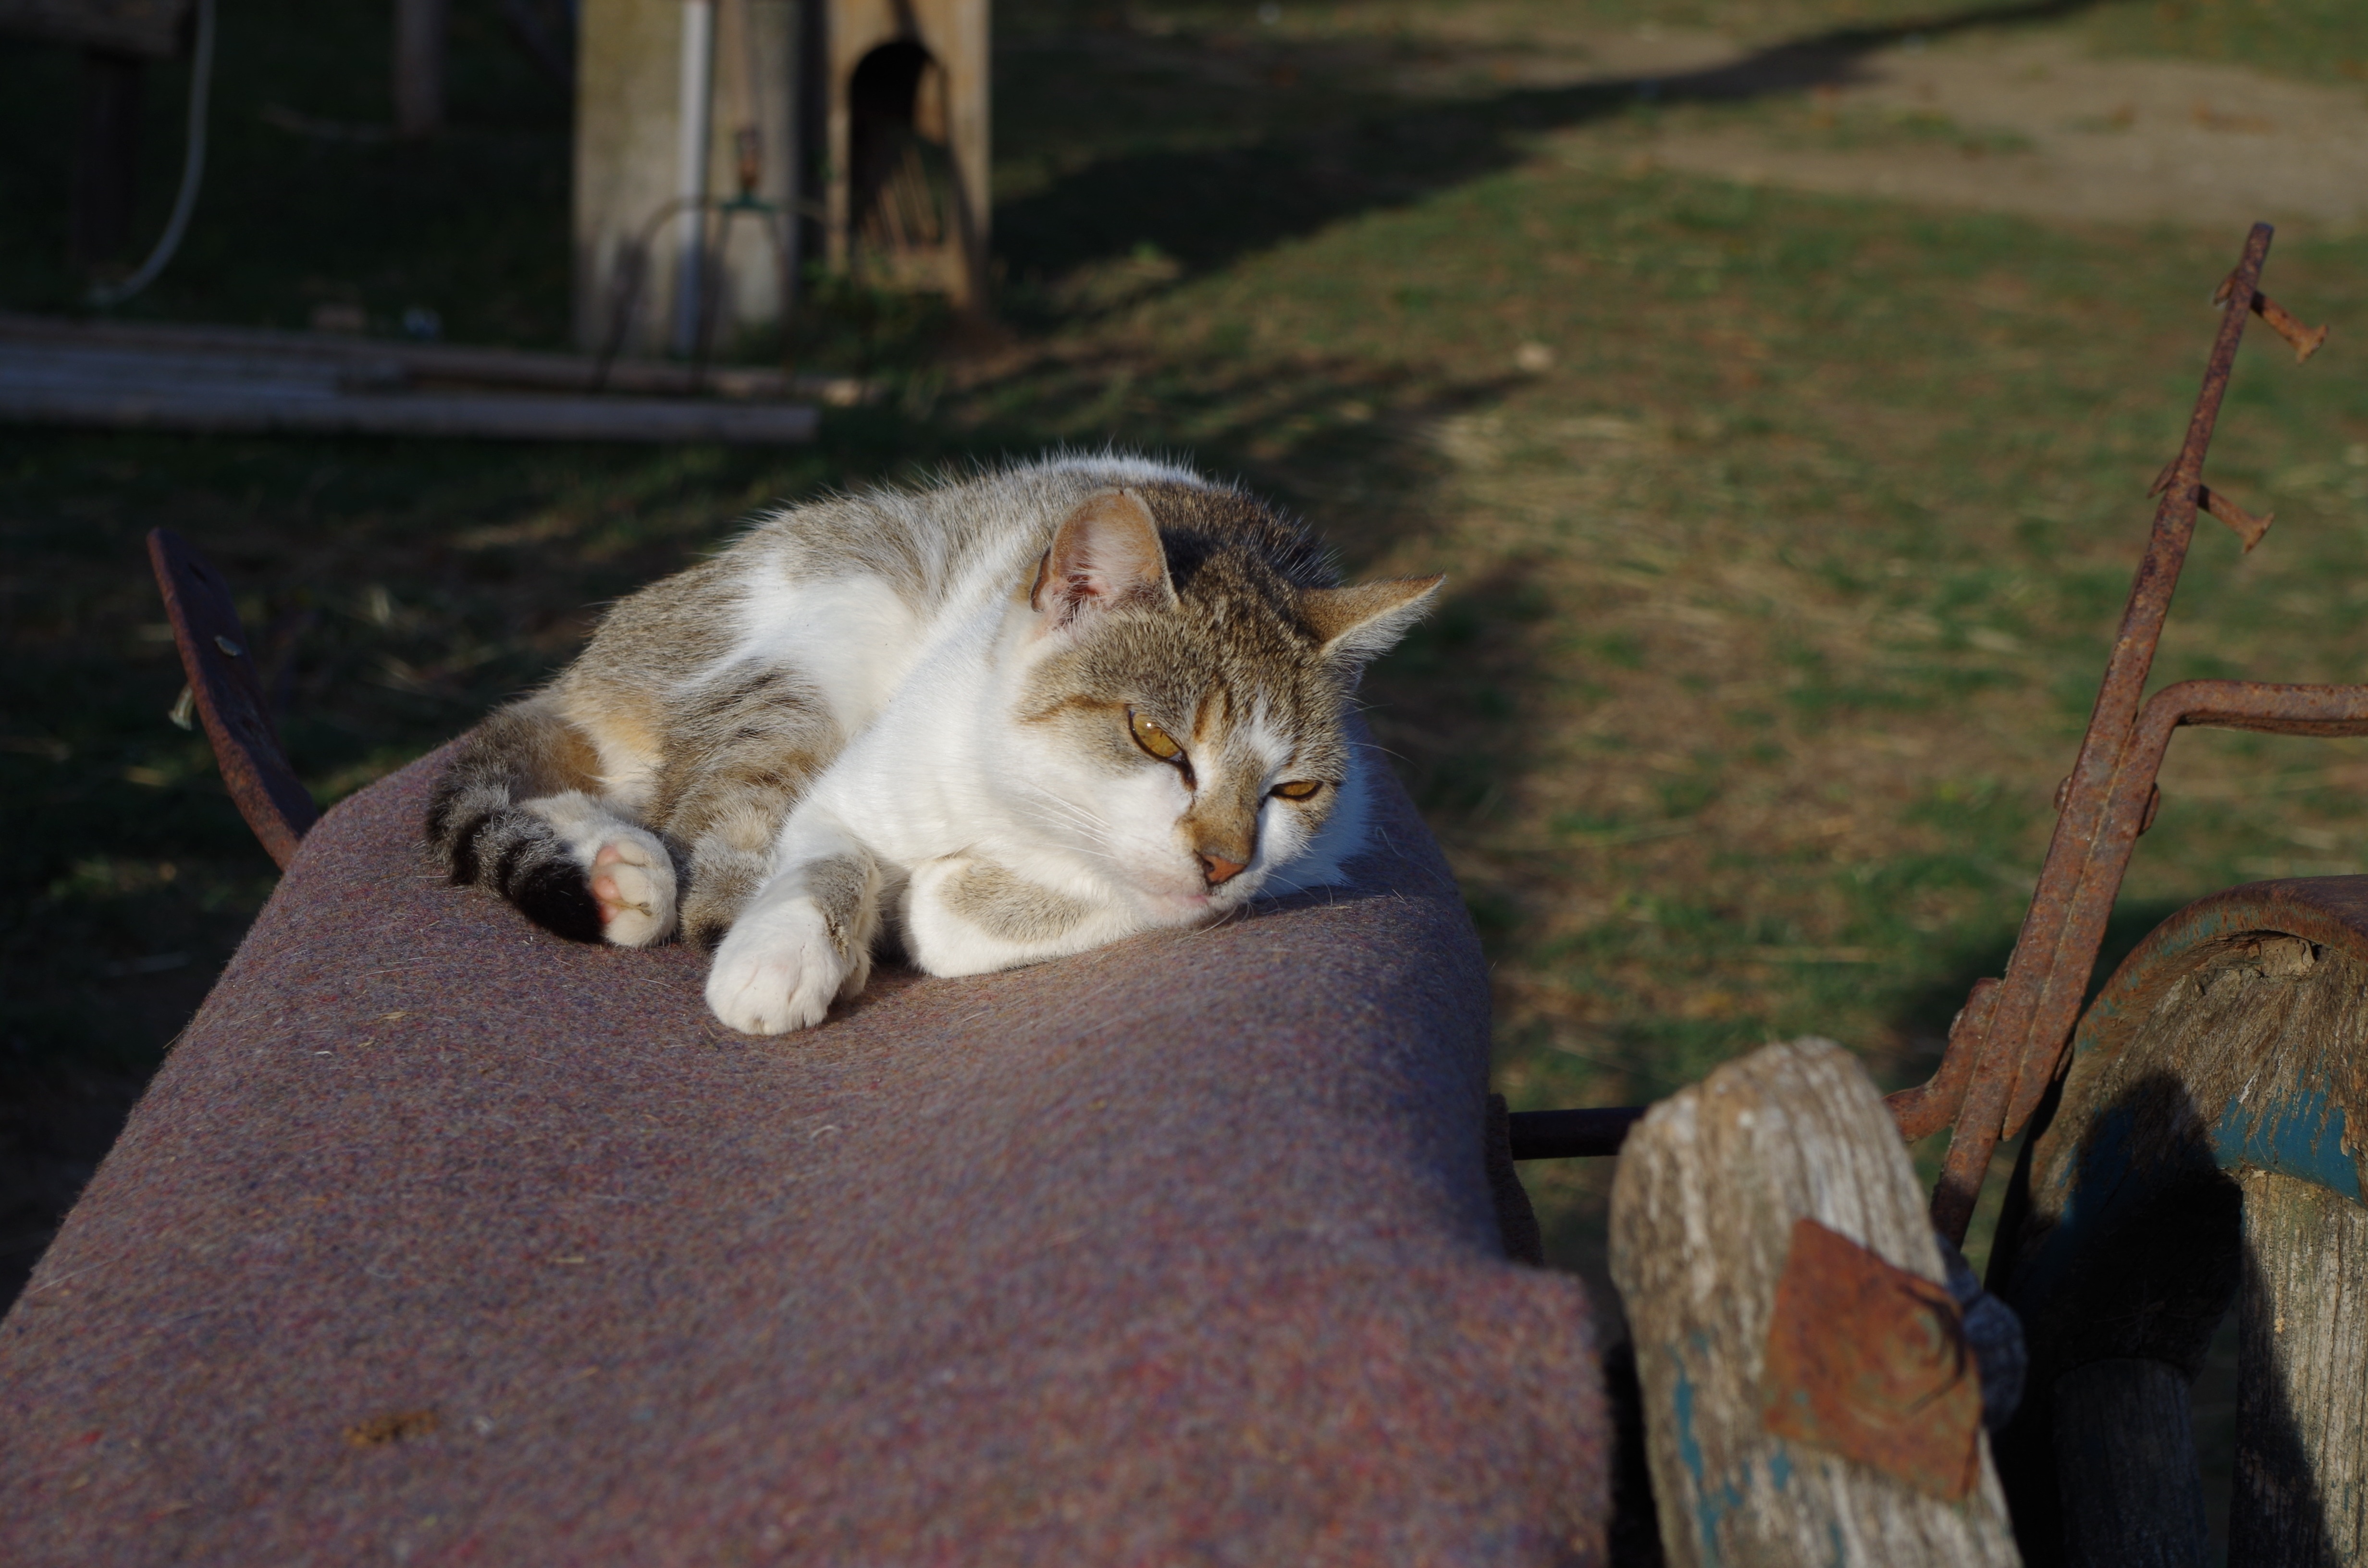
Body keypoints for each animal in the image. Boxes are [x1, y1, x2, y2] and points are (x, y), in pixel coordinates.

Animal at [426, 462, 1440, 1037]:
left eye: (1293, 788)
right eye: (1155, 738)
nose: (1223, 859)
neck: (1027, 804)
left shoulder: (1325, 849)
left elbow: (1023, 909)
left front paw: (939, 899)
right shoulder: (855, 788)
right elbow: (819, 861)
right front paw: (783, 957)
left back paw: (620, 874)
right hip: (832, 625)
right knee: (704, 843)